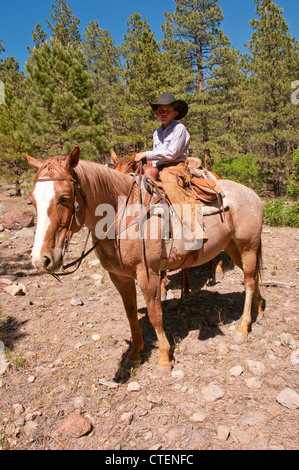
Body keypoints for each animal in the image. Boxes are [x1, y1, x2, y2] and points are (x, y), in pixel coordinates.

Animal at [25, 147, 264, 378]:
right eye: (32, 200)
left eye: (64, 197)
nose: (41, 260)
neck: (122, 215)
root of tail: (252, 193)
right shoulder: (119, 277)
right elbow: (131, 312)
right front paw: (134, 354)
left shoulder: (148, 275)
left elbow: (155, 315)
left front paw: (164, 359)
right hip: (233, 248)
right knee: (252, 278)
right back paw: (259, 309)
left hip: (248, 247)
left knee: (249, 282)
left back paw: (243, 326)